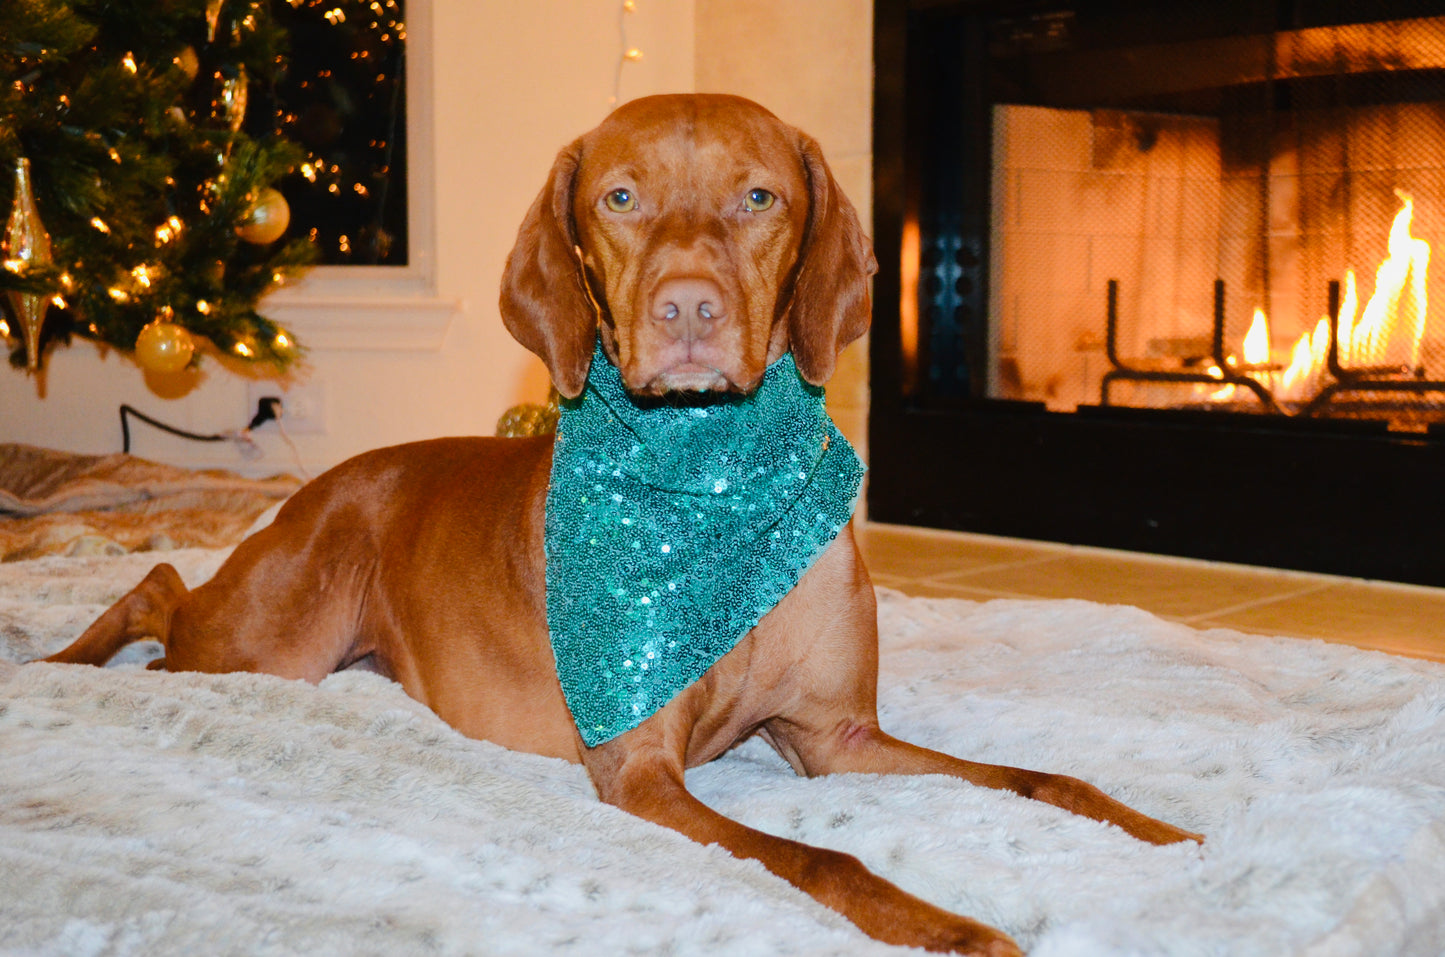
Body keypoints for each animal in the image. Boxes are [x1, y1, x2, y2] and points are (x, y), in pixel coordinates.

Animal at [45, 93, 1196, 954]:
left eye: (757, 196)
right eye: (621, 197)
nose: (686, 311)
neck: (709, 485)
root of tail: (326, 480)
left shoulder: (836, 737)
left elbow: (1041, 775)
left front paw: (1160, 830)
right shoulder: (639, 767)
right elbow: (825, 855)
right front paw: (958, 929)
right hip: (270, 642)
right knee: (155, 585)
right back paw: (58, 660)